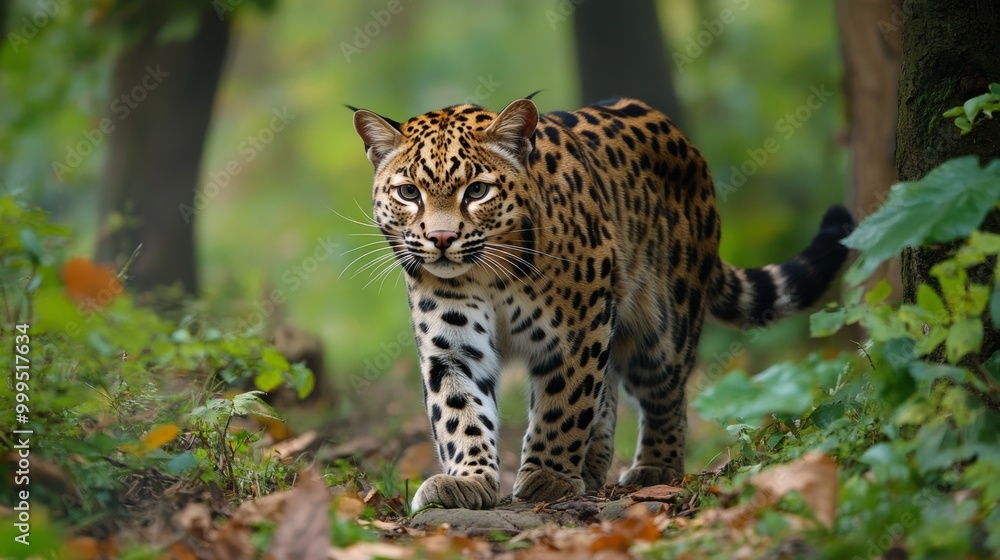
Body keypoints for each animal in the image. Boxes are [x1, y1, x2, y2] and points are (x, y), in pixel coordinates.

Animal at [349, 95, 854, 510]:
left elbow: (564, 403)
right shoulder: (453, 349)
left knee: (664, 394)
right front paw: (468, 481)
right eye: (408, 192)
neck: (488, 275)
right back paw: (593, 463)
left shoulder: (577, 330)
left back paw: (655, 467)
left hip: (662, 325)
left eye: (477, 191)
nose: (440, 240)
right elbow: (460, 412)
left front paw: (548, 476)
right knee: (608, 391)